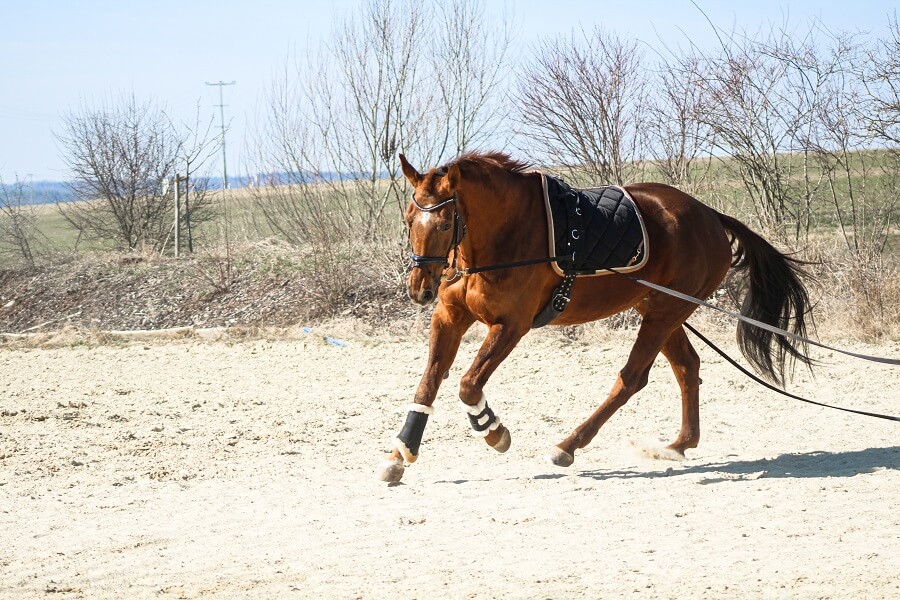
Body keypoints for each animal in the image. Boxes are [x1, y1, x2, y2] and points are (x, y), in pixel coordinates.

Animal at [376, 151, 812, 482]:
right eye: (408, 218)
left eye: (444, 223)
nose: (420, 289)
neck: (505, 235)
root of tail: (709, 216)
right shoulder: (449, 316)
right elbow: (427, 384)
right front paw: (400, 455)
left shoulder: (511, 326)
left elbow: (468, 385)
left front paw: (493, 431)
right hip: (658, 308)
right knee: (687, 366)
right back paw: (678, 445)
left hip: (667, 311)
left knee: (632, 378)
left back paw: (568, 446)